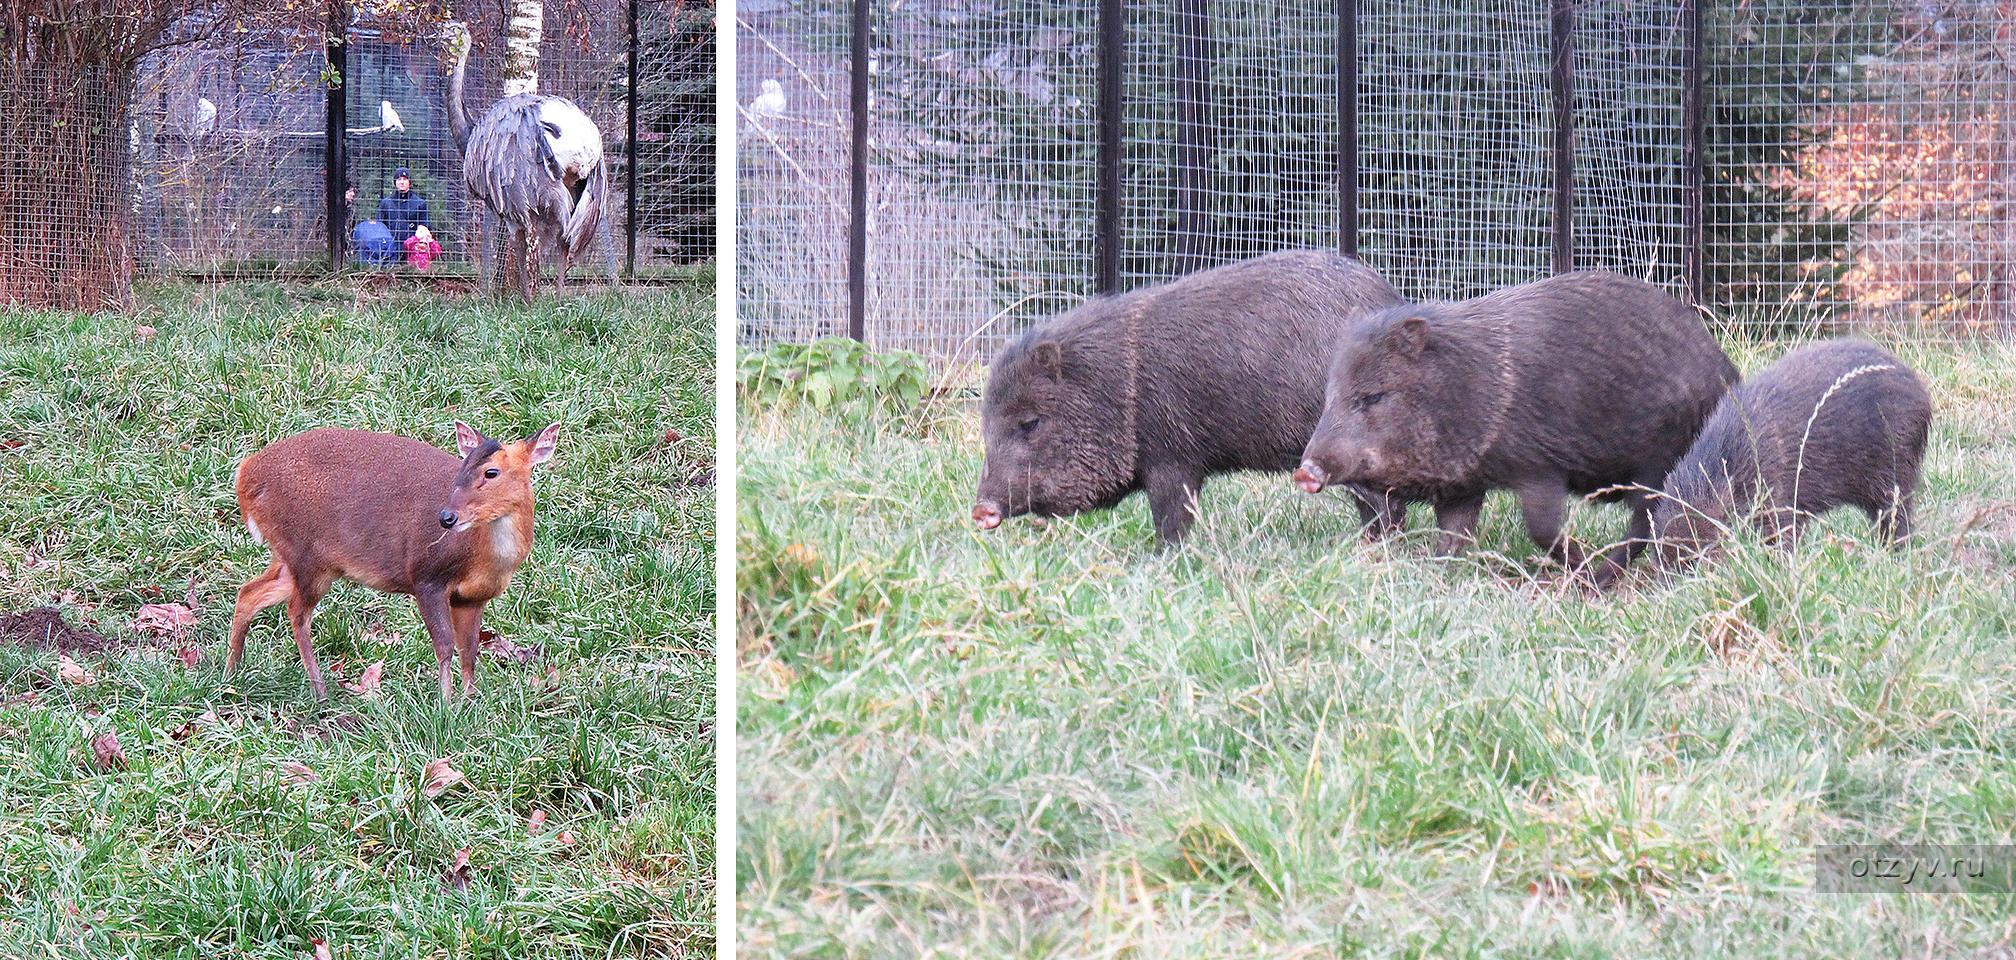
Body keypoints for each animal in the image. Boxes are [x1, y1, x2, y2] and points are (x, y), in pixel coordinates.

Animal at [226, 423, 560, 701]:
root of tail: (245, 474)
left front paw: (469, 701)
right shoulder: (426, 576)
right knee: (296, 613)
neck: (479, 555)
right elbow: (445, 646)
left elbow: (469, 651)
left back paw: (232, 672)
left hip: (298, 558)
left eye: (491, 473)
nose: (446, 517)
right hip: (306, 554)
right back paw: (319, 692)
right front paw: (445, 706)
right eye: (462, 469)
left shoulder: (473, 597)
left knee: (250, 592)